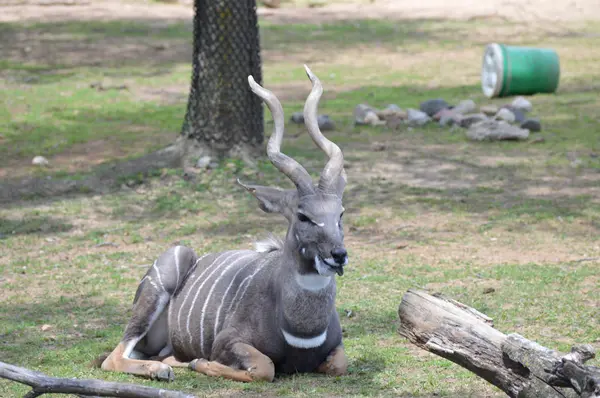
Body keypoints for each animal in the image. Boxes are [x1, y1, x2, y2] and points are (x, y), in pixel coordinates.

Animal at [101, 65, 350, 382]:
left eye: (339, 213)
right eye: (303, 216)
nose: (338, 255)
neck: (301, 330)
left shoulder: (337, 348)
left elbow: (339, 365)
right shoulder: (227, 341)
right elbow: (264, 368)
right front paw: (200, 363)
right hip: (168, 270)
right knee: (113, 358)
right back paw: (162, 370)